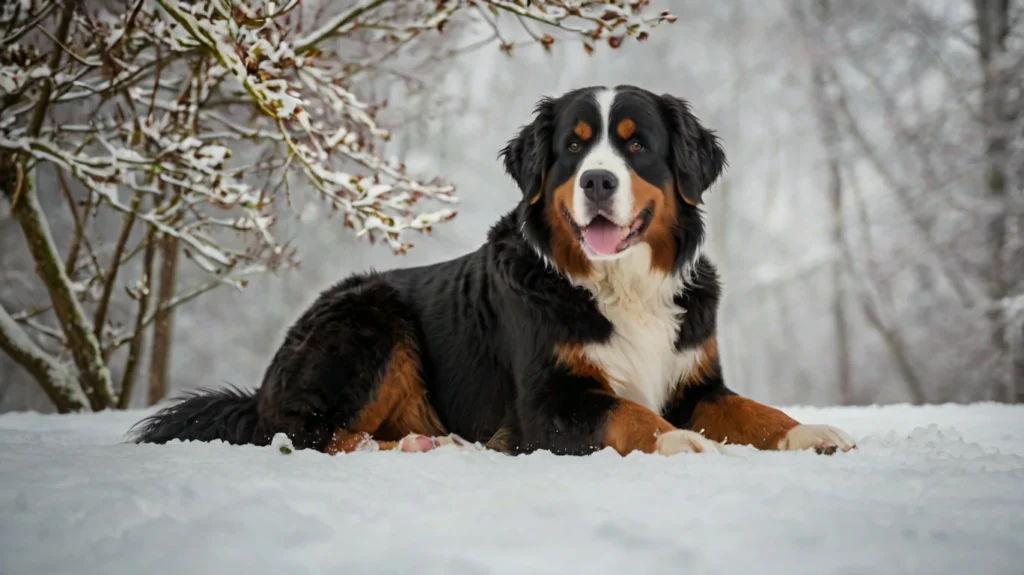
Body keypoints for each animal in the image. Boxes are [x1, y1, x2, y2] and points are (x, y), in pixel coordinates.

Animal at [136, 84, 856, 454]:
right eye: (573, 148)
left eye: (635, 145)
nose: (597, 181)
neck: (620, 283)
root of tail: (262, 387)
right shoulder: (550, 402)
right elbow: (630, 415)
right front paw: (684, 445)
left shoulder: (695, 380)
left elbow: (753, 409)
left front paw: (809, 432)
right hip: (373, 319)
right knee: (310, 436)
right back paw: (429, 445)